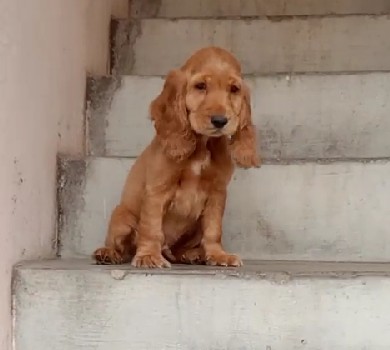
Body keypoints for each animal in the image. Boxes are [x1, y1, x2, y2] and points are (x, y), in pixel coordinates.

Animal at [93, 46, 260, 268]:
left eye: (234, 89)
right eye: (200, 86)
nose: (220, 121)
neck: (201, 145)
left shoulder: (217, 192)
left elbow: (214, 230)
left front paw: (218, 255)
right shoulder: (158, 188)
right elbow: (152, 227)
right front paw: (148, 256)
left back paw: (192, 254)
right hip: (121, 217)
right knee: (122, 246)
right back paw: (108, 253)